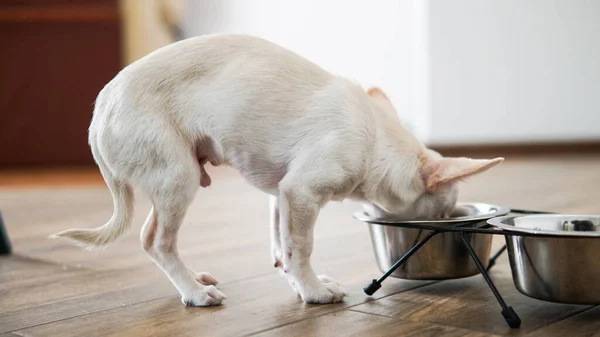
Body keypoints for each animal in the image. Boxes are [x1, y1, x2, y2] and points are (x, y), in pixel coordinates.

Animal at [50, 33, 502, 304]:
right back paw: (193, 293)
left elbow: (283, 244)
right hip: (177, 177)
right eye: (443, 214)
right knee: (156, 241)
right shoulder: (302, 193)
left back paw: (195, 279)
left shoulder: (281, 193)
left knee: (158, 237)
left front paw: (298, 281)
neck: (376, 139)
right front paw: (314, 291)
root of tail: (100, 112)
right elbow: (302, 246)